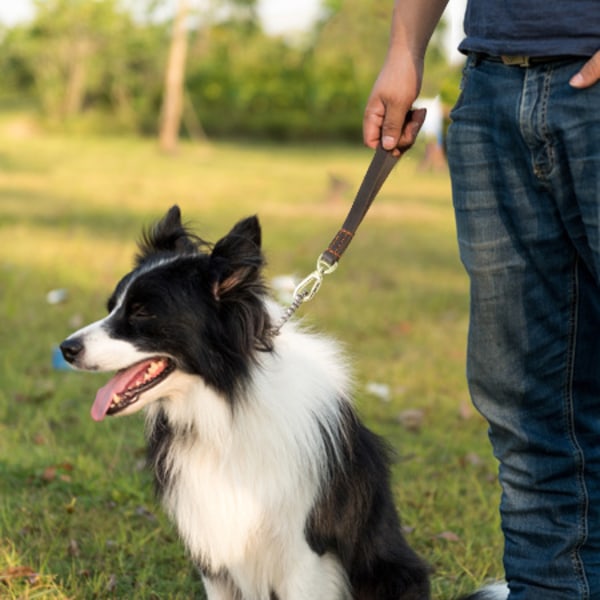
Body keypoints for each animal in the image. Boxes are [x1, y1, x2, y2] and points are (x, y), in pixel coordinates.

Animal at [62, 207, 506, 600]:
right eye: (112, 307)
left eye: (142, 313)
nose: (66, 348)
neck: (228, 408)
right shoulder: (215, 548)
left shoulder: (305, 555)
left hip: (394, 574)